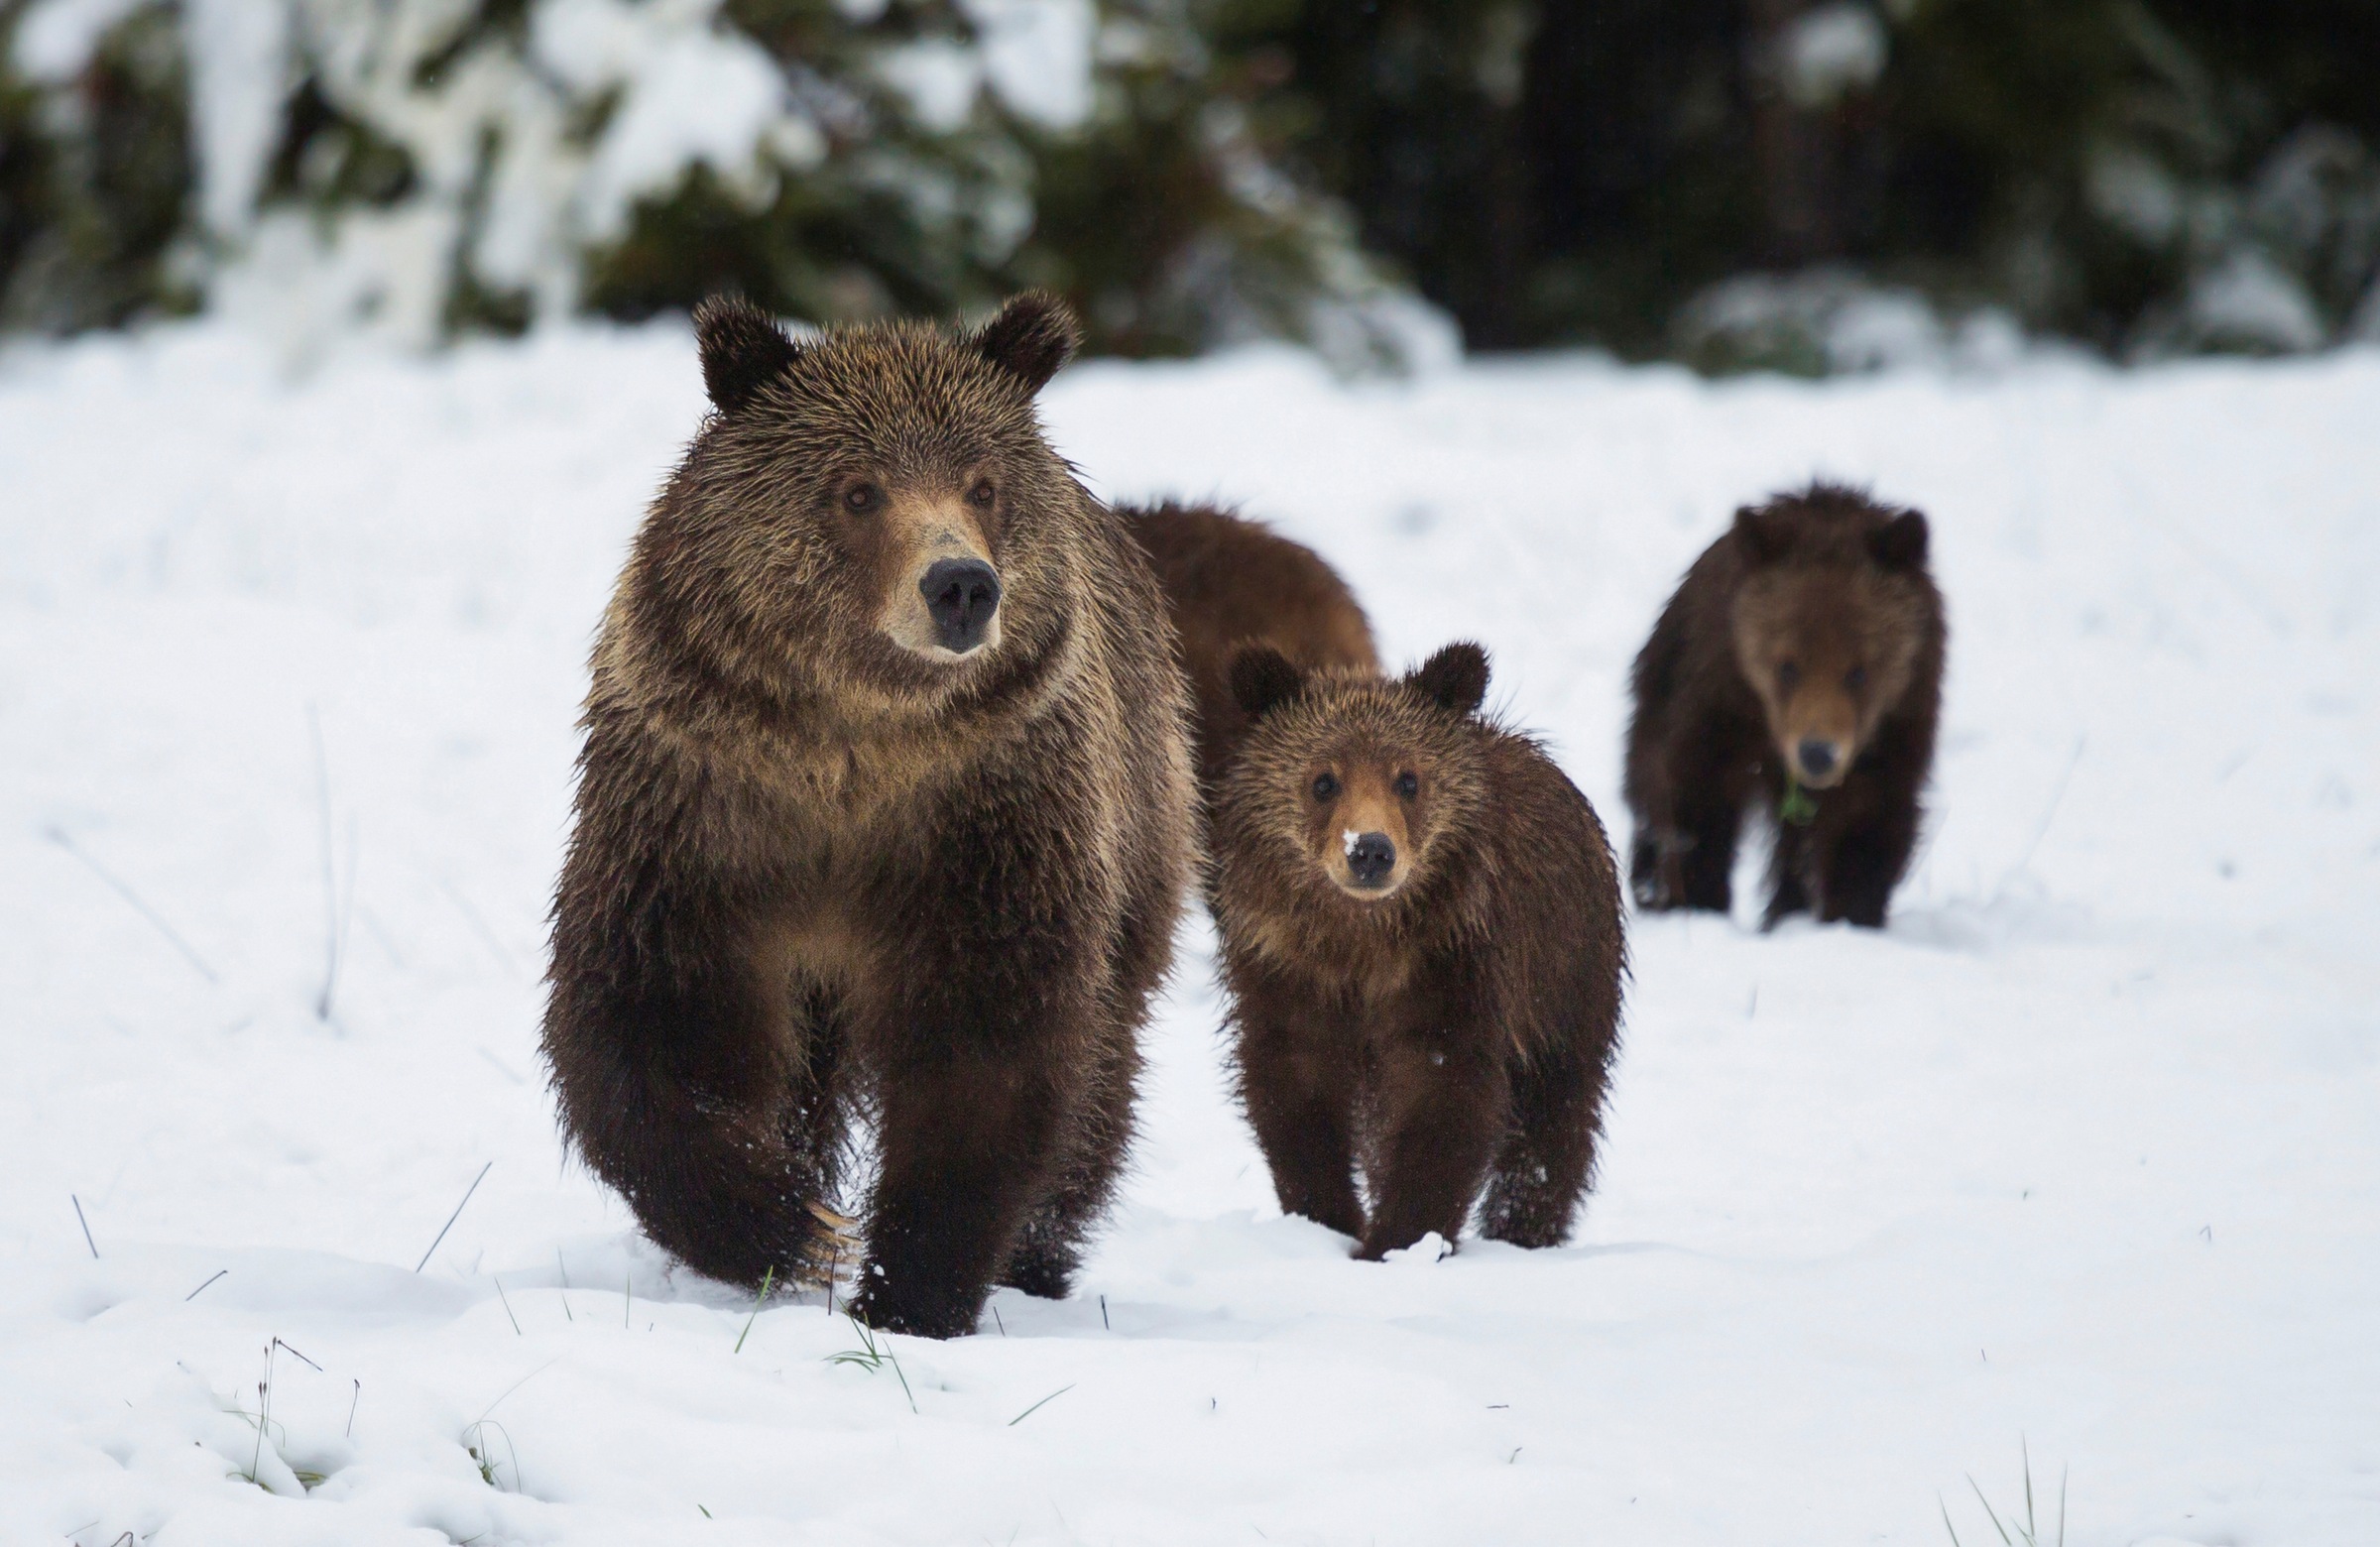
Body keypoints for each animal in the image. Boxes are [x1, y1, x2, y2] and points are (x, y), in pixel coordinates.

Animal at [544, 293, 1199, 1333]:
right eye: (858, 491)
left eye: (982, 484)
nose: (961, 585)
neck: (852, 748)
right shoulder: (700, 811)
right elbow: (656, 1020)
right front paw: (784, 1224)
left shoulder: (985, 823)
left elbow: (986, 1051)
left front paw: (910, 1287)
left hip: (1141, 813)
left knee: (1104, 1061)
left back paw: (1040, 1253)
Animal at [1218, 638, 1627, 1256]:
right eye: (1324, 780)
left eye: (1407, 779)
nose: (1369, 850)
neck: (1362, 941)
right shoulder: (1288, 968)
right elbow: (1295, 1090)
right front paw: (1326, 1220)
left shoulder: (1453, 965)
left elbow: (1444, 1097)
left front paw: (1398, 1241)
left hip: (1568, 972)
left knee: (1557, 1111)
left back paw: (1524, 1229)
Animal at [1627, 478, 1942, 928]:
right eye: (1787, 665)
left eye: (1859, 671)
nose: (1817, 754)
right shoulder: (1717, 701)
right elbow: (1694, 795)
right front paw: (1696, 897)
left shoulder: (1898, 720)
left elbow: (1866, 821)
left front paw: (1850, 912)